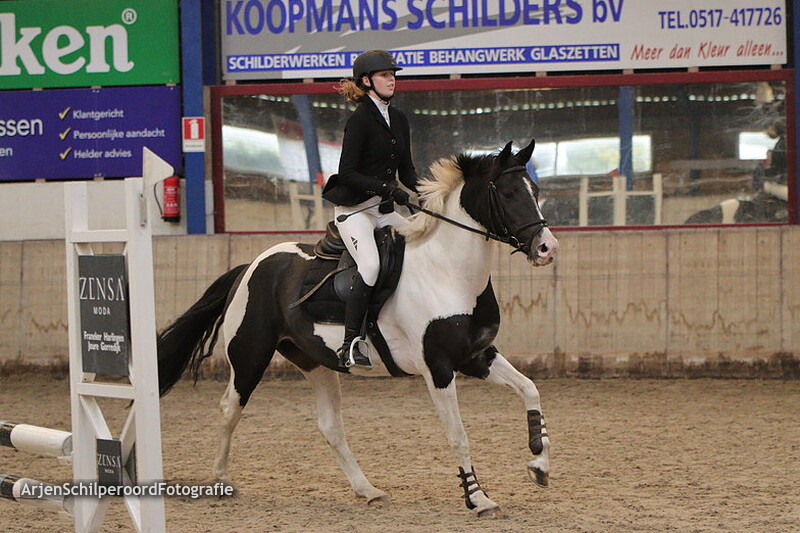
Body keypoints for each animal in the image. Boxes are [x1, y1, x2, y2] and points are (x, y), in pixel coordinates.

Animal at [156, 139, 559, 516]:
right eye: (508, 193)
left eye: (535, 190)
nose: (546, 248)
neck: (448, 272)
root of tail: (251, 266)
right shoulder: (440, 368)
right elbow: (458, 436)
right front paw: (477, 498)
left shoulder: (478, 356)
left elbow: (530, 389)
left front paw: (538, 465)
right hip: (250, 357)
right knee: (230, 409)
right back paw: (221, 479)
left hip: (315, 362)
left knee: (330, 427)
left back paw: (368, 490)